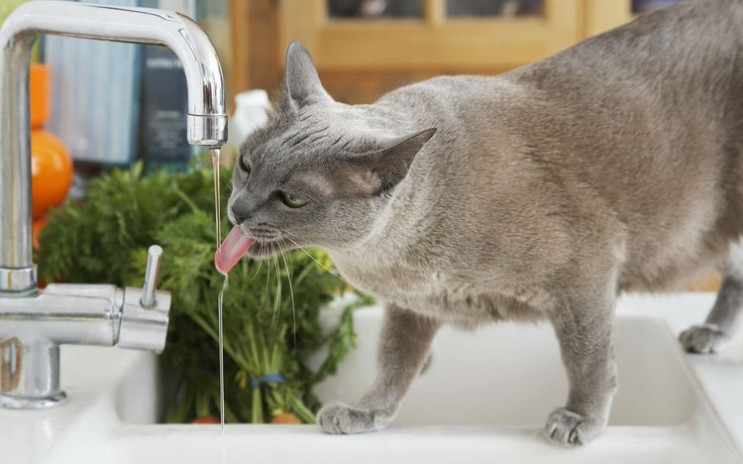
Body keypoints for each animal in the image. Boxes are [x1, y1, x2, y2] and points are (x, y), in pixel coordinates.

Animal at [225, 0, 743, 450]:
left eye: (292, 198)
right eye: (247, 164)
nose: (237, 210)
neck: (390, 258)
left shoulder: (587, 276)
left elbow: (587, 359)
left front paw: (580, 419)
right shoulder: (412, 306)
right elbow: (394, 361)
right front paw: (366, 412)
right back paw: (708, 334)